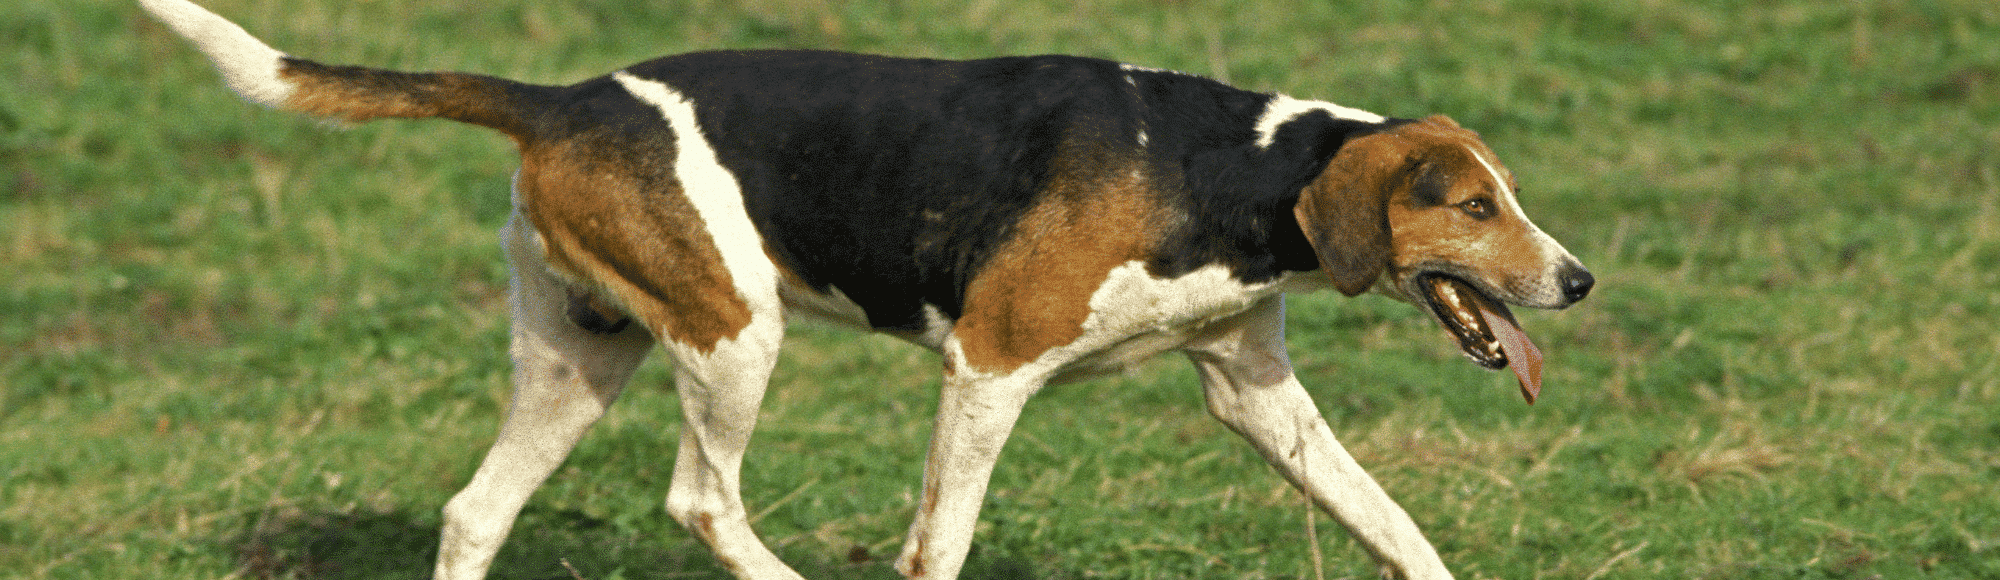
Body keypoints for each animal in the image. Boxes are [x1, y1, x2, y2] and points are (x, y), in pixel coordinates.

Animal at [141, 2, 1592, 576]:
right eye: (1472, 208)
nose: (1576, 279)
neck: (1228, 169)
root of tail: (563, 98)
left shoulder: (1256, 394)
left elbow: (1393, 523)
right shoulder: (990, 365)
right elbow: (939, 541)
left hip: (581, 361)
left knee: (473, 514)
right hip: (733, 336)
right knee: (702, 501)